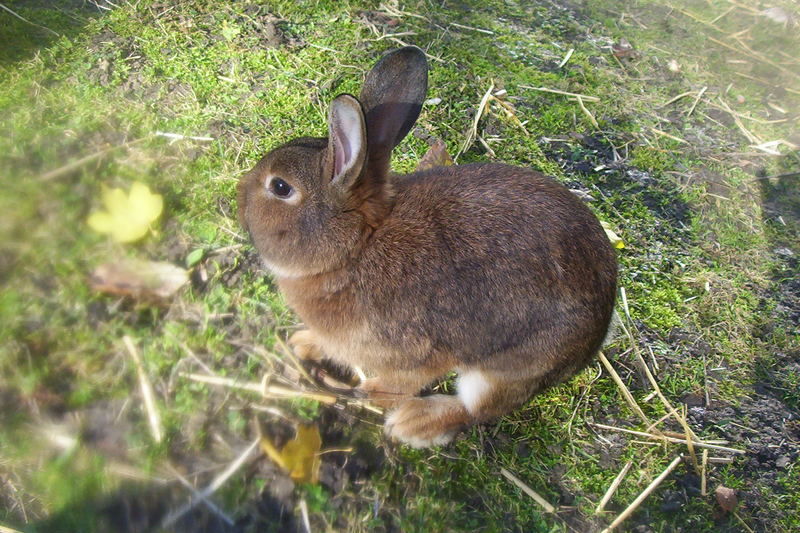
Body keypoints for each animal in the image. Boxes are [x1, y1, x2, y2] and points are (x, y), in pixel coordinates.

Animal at [238, 45, 620, 446]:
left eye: (280, 187)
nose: (236, 201)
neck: (357, 246)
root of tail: (598, 330)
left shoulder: (416, 354)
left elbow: (401, 384)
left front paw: (369, 393)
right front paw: (304, 343)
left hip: (508, 369)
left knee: (475, 409)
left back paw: (413, 423)